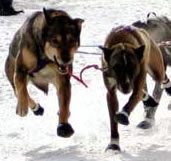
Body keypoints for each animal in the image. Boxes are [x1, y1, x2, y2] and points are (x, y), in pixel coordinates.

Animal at [4, 8, 83, 138]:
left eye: (72, 40)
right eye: (55, 41)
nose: (66, 59)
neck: (45, 57)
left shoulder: (63, 80)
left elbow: (64, 103)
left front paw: (63, 126)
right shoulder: (20, 70)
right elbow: (22, 89)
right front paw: (22, 107)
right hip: (13, 74)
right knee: (19, 92)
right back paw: (35, 108)